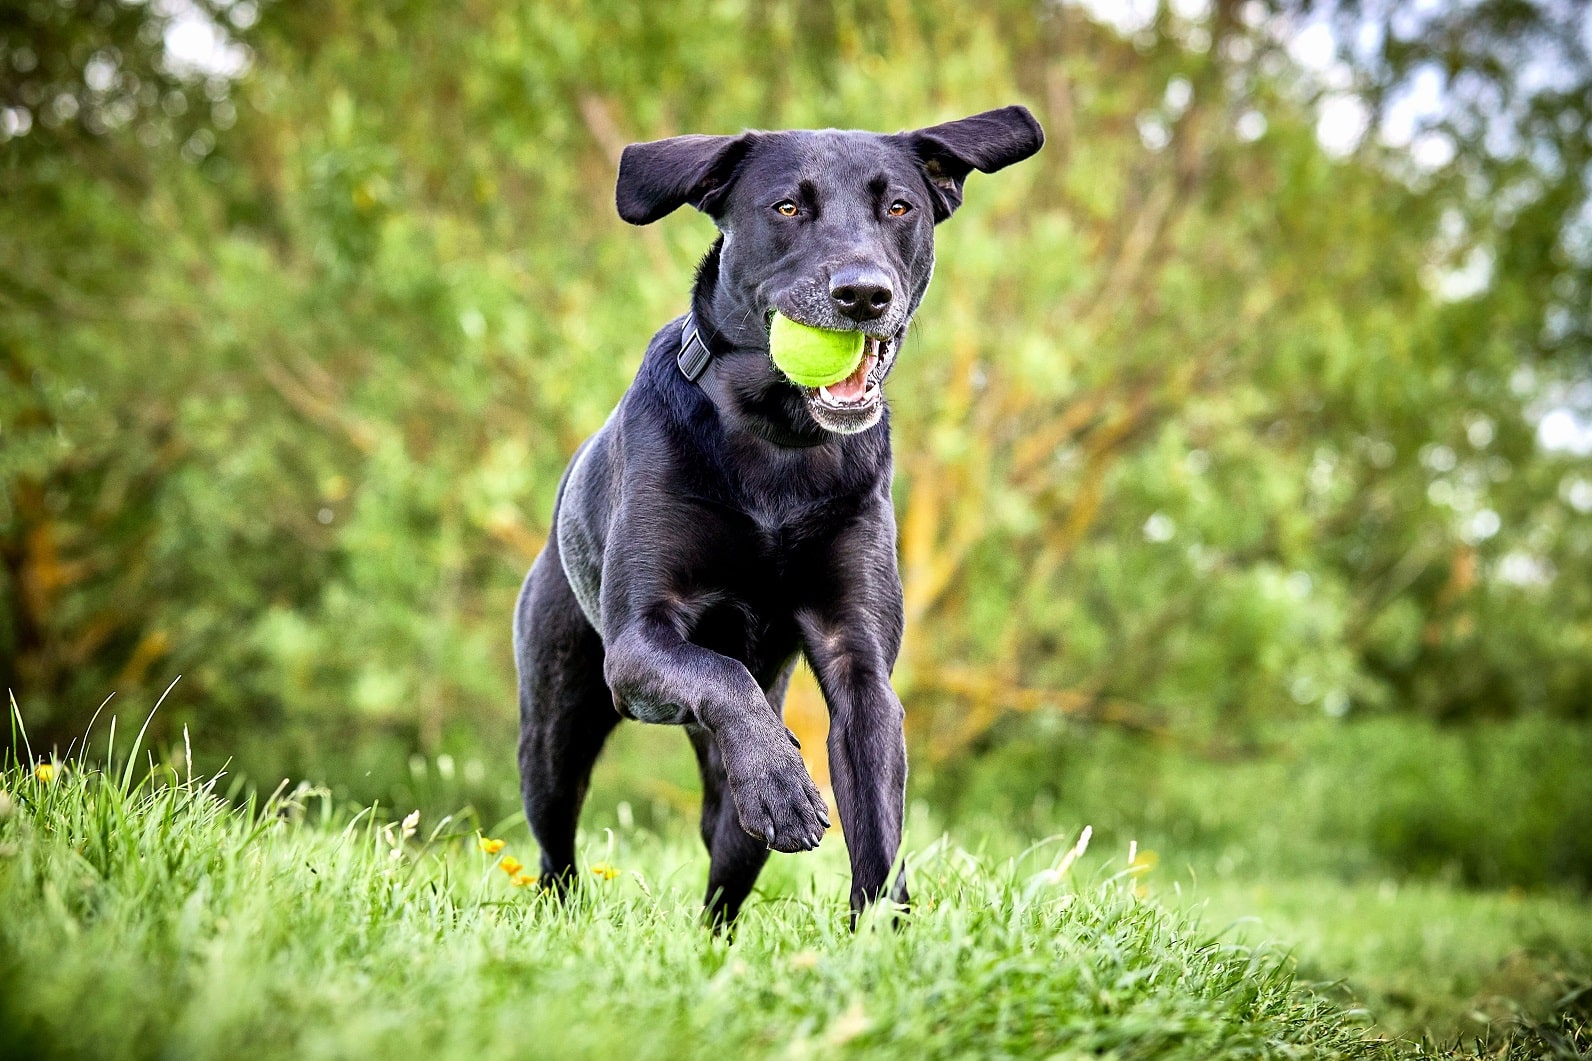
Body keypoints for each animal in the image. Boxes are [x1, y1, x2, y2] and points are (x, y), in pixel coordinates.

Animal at [518, 107, 1044, 917]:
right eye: (788, 207)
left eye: (900, 207)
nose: (863, 294)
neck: (778, 439)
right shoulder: (638, 644)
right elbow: (720, 672)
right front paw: (782, 783)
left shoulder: (857, 658)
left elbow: (879, 828)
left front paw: (884, 934)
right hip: (556, 721)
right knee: (556, 841)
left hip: (724, 811)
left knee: (725, 868)